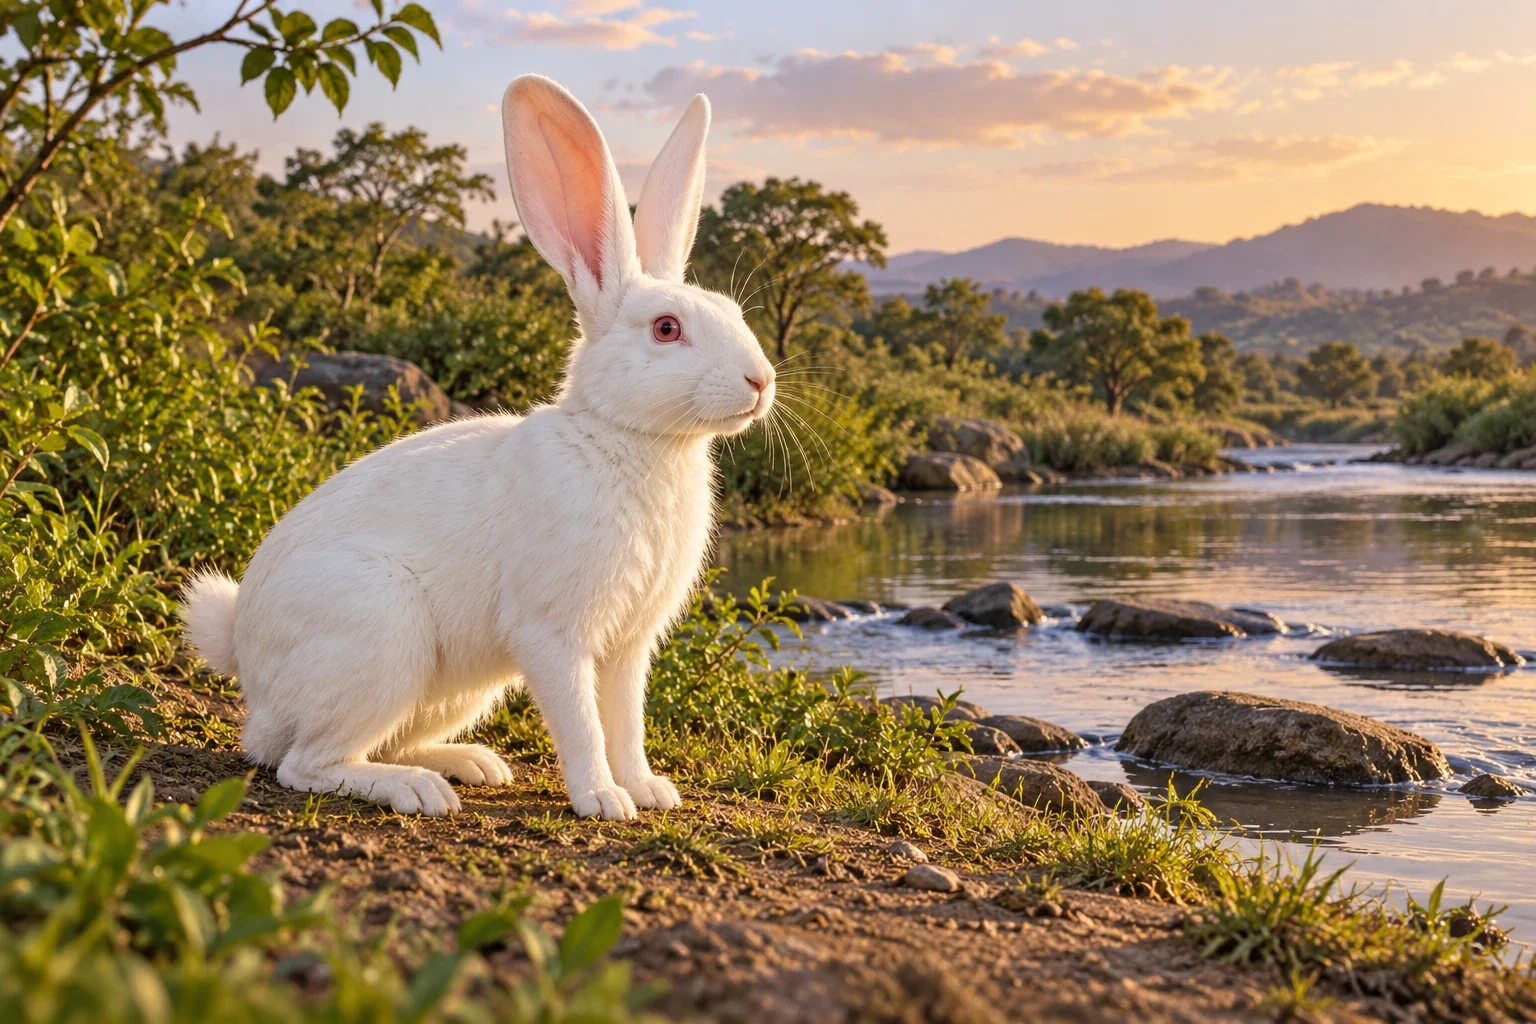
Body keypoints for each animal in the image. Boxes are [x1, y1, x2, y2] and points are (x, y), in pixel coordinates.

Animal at [180, 75, 774, 821]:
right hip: (380, 636)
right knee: (304, 763)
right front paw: (603, 801)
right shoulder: (552, 634)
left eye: (732, 311)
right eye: (667, 329)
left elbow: (625, 721)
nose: (761, 381)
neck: (625, 439)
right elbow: (582, 723)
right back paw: (417, 790)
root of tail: (245, 658)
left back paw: (471, 764)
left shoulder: (629, 646)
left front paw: (648, 790)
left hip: (456, 688)